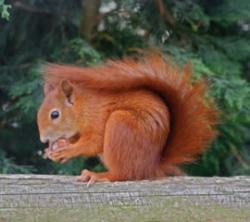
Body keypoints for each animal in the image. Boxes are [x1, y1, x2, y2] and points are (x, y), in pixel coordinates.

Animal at [36, 53, 218, 183]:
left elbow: (93, 143)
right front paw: (59, 145)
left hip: (120, 125)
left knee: (124, 174)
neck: (84, 108)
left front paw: (67, 150)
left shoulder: (98, 119)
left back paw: (99, 176)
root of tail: (151, 166)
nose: (43, 139)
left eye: (55, 114)